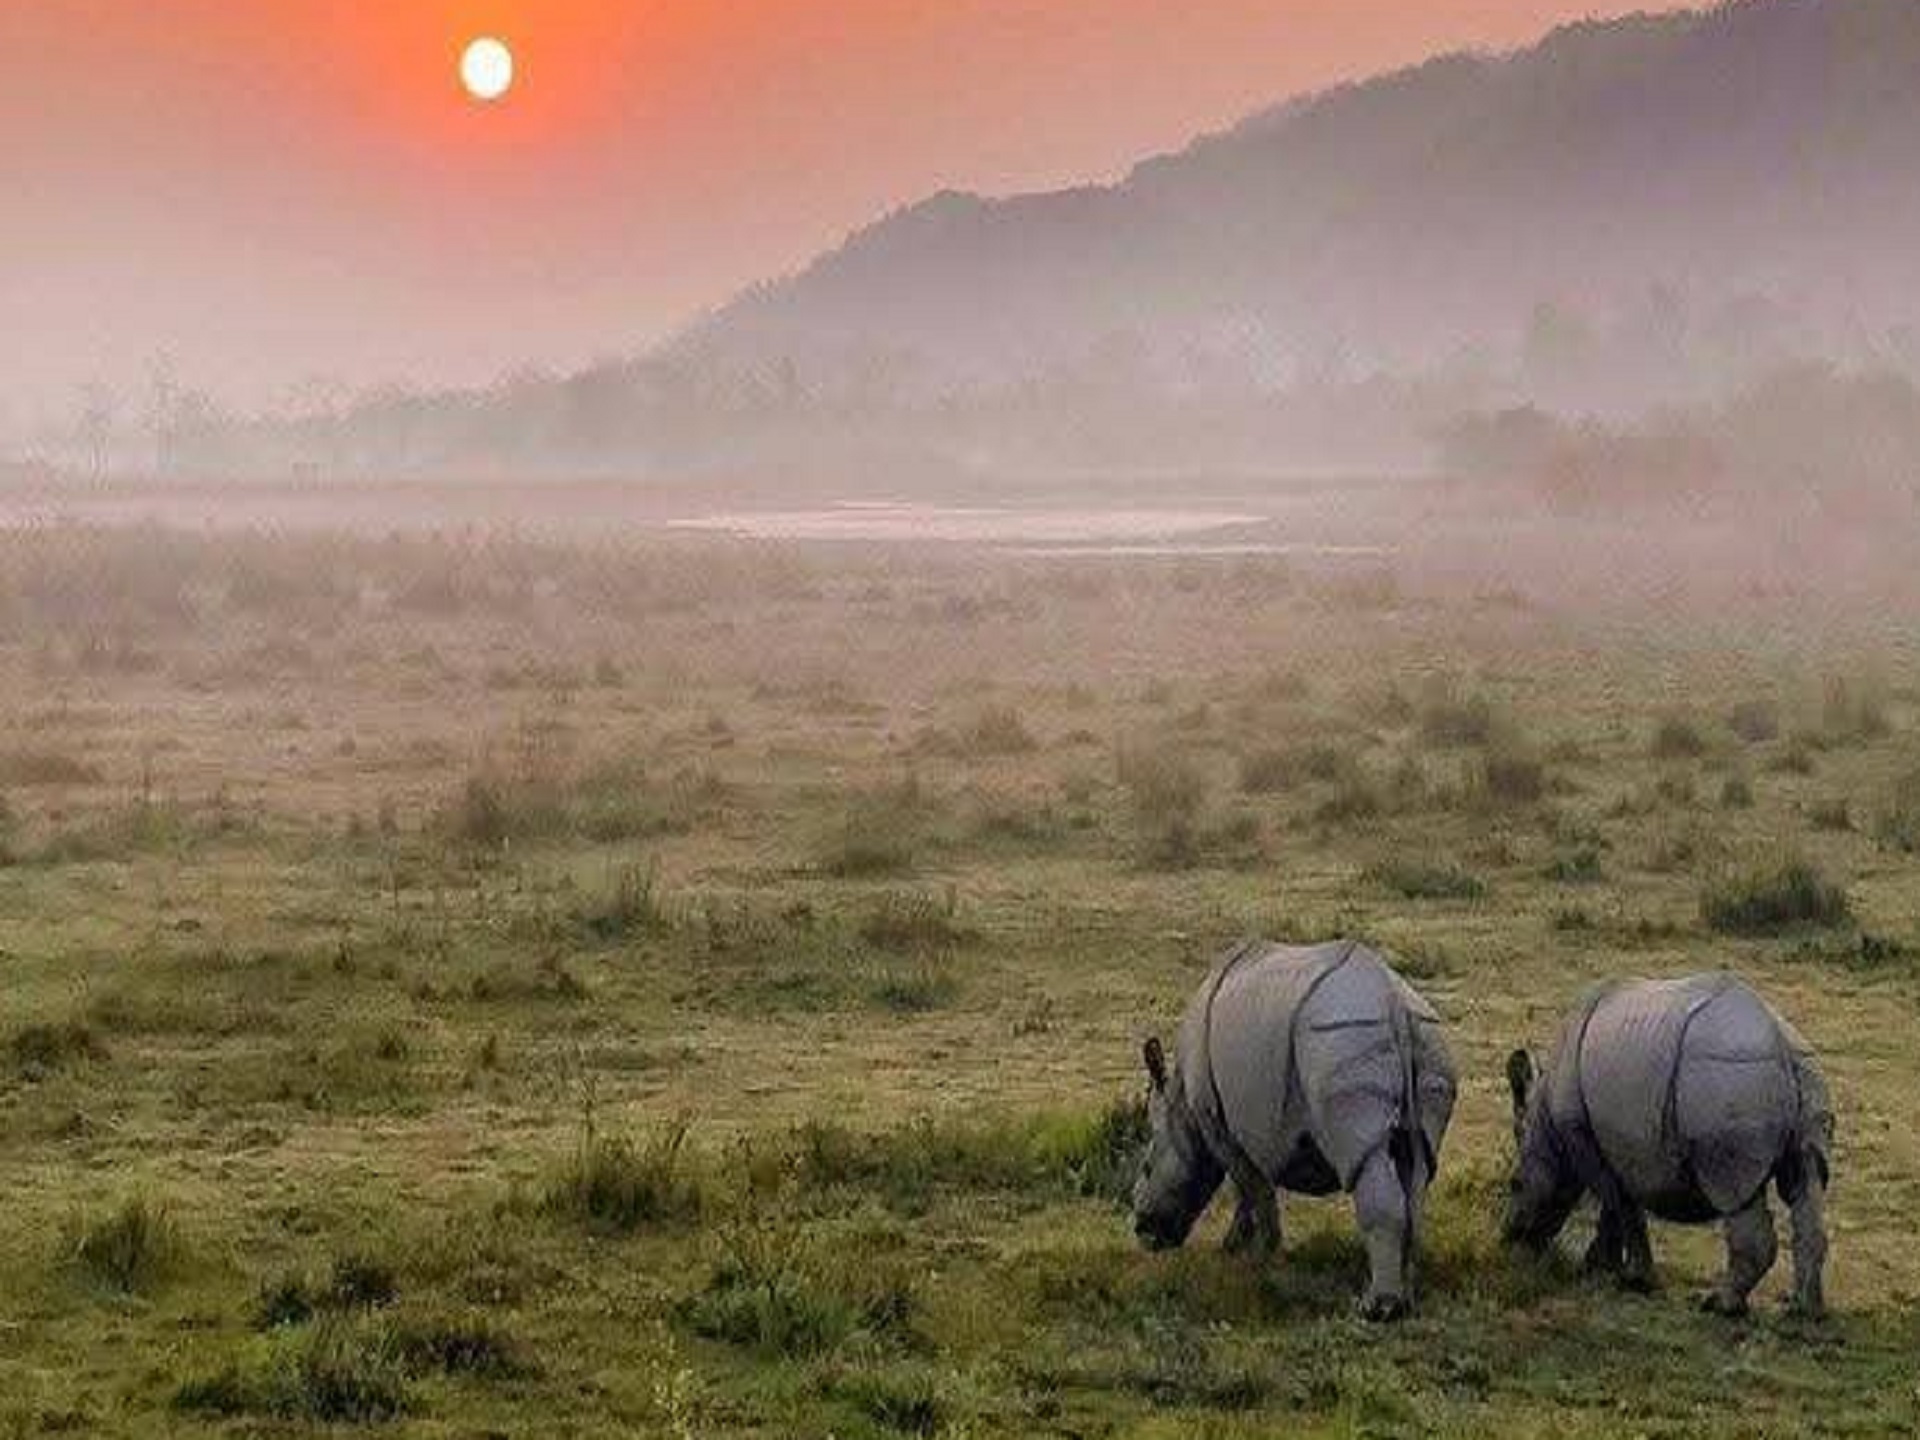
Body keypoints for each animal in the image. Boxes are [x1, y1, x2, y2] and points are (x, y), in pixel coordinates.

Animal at [1133, 939, 1458, 1320]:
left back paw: (1378, 1308)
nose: (1142, 1232)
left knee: (1366, 1159)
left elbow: (1250, 1184)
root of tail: (1394, 1004)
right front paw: (1235, 1249)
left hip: (1341, 1037)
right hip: (1428, 1042)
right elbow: (1250, 1188)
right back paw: (1406, 1297)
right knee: (1418, 1167)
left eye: (1147, 1167)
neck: (1180, 1101)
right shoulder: (1247, 1128)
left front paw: (1260, 1256)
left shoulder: (1217, 1124)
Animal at [1505, 973, 1832, 1317]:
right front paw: (1604, 1269)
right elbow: (1618, 1207)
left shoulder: (1583, 1138)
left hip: (1729, 1080)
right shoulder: (1612, 1148)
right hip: (1805, 1079)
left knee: (1733, 1193)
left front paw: (1626, 1277)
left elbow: (1619, 1204)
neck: (1545, 1126)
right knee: (1806, 1179)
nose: (1509, 1238)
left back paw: (1720, 1305)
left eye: (1515, 1184)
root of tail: (1784, 1047)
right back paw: (1804, 1311)